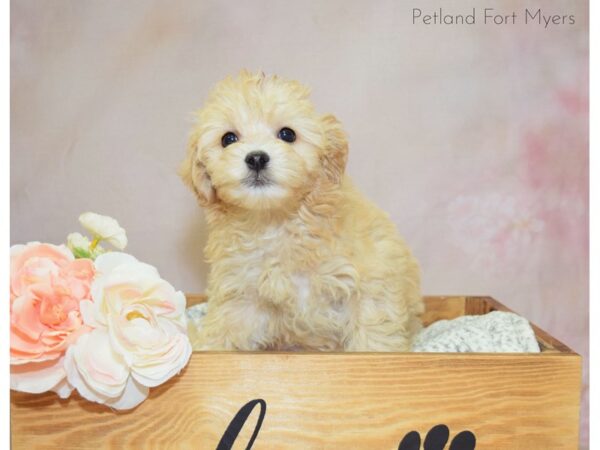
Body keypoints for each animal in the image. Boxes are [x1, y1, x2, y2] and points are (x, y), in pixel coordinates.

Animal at [180, 70, 424, 352]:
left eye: (287, 134)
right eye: (228, 139)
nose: (256, 158)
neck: (276, 221)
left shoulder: (372, 282)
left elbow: (373, 332)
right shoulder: (243, 294)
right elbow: (224, 330)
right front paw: (205, 349)